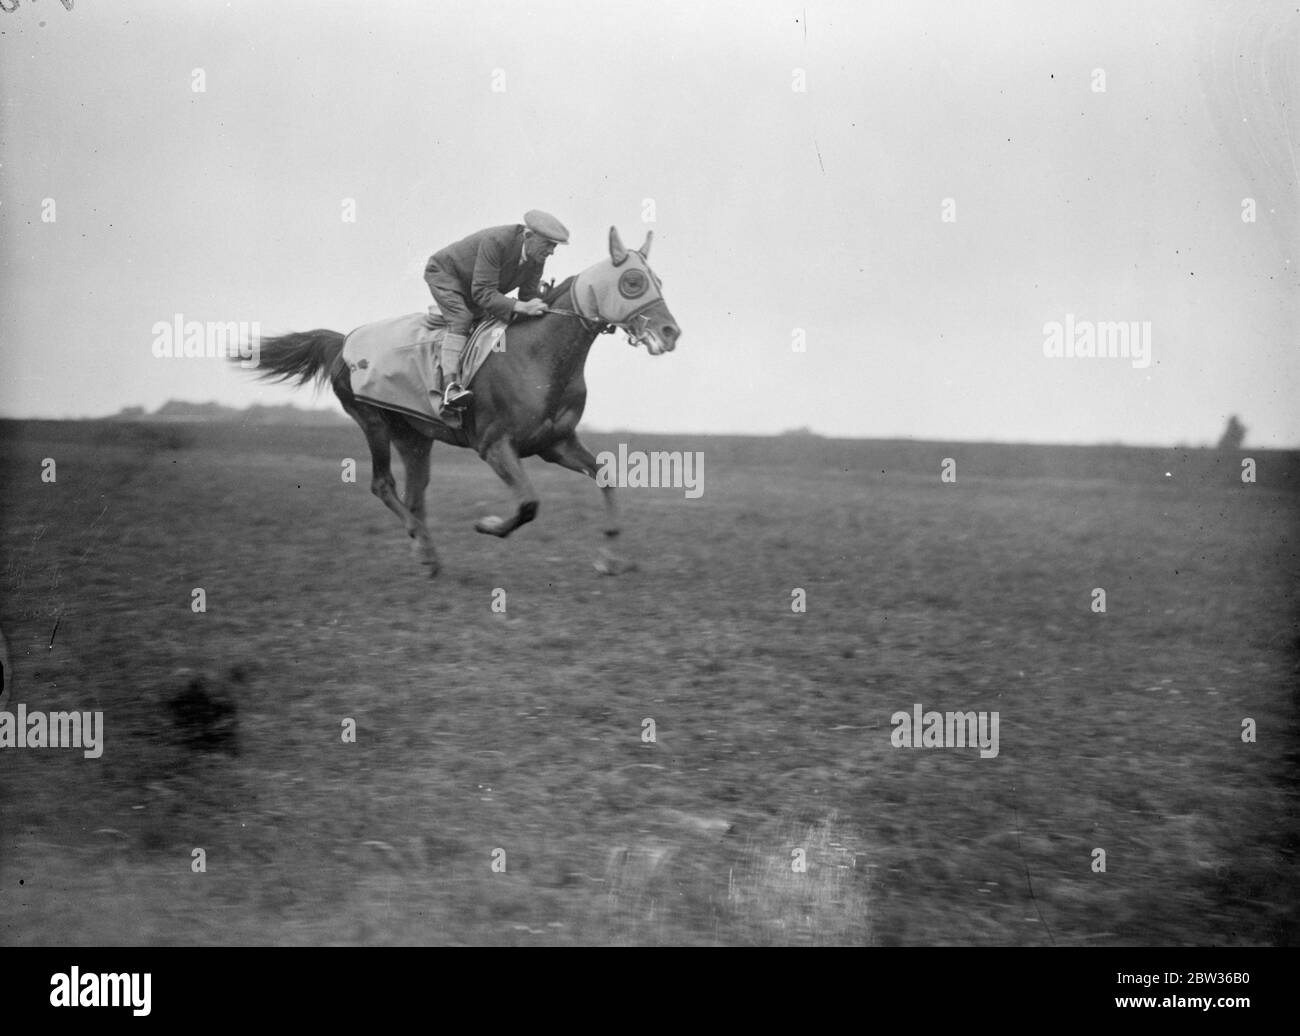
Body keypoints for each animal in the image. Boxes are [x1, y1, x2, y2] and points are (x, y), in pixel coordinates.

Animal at [241, 227, 681, 577]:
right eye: (632, 282)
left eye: (658, 278)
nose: (670, 332)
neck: (538, 354)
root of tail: (344, 340)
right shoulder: (494, 444)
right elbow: (529, 503)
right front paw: (488, 524)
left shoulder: (556, 444)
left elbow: (605, 475)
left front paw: (608, 558)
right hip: (373, 422)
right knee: (383, 485)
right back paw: (423, 547)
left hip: (414, 437)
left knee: (415, 494)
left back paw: (427, 553)